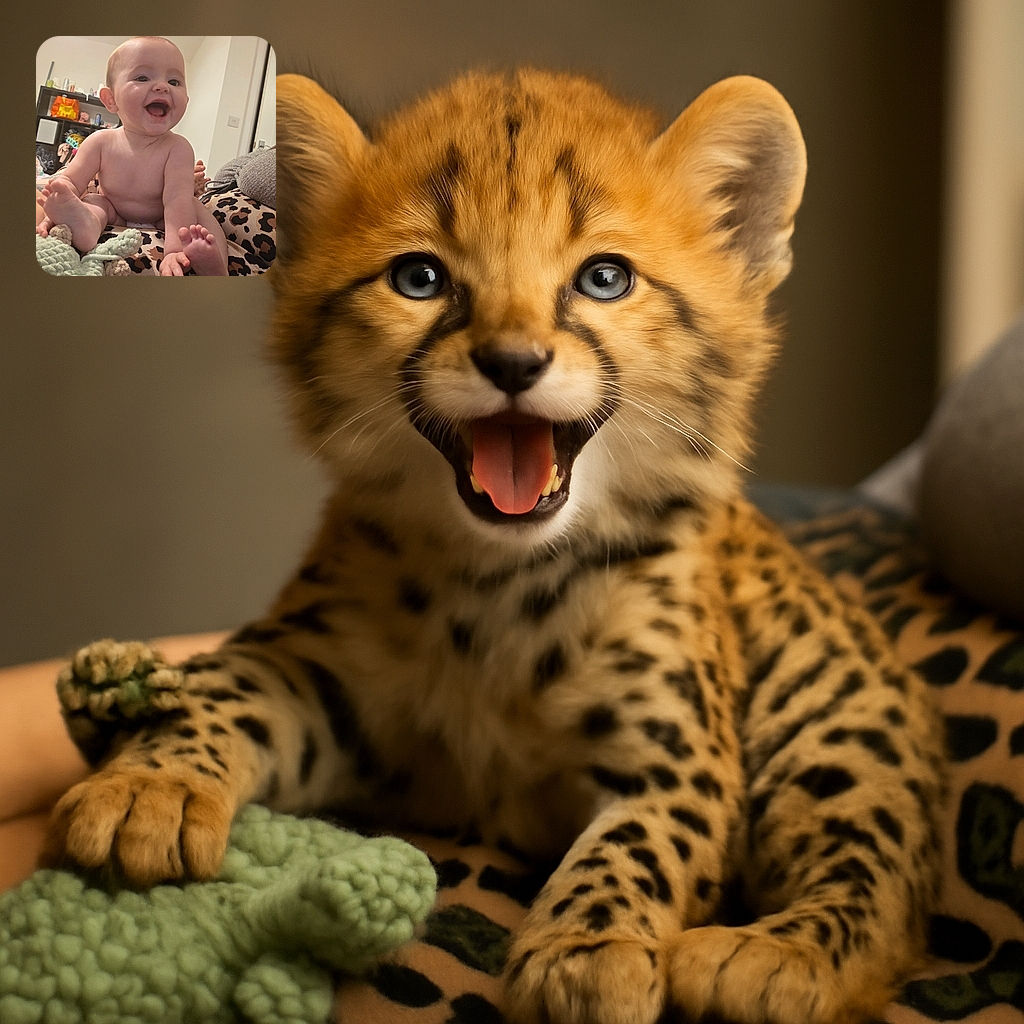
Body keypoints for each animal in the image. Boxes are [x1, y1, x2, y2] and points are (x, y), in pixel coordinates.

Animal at [45, 68, 945, 1024]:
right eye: (419, 278)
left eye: (605, 278)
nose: (513, 363)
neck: (504, 577)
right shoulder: (317, 675)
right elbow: (225, 691)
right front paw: (152, 785)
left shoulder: (676, 757)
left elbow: (640, 842)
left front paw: (588, 951)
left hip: (833, 718)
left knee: (879, 883)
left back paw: (771, 959)